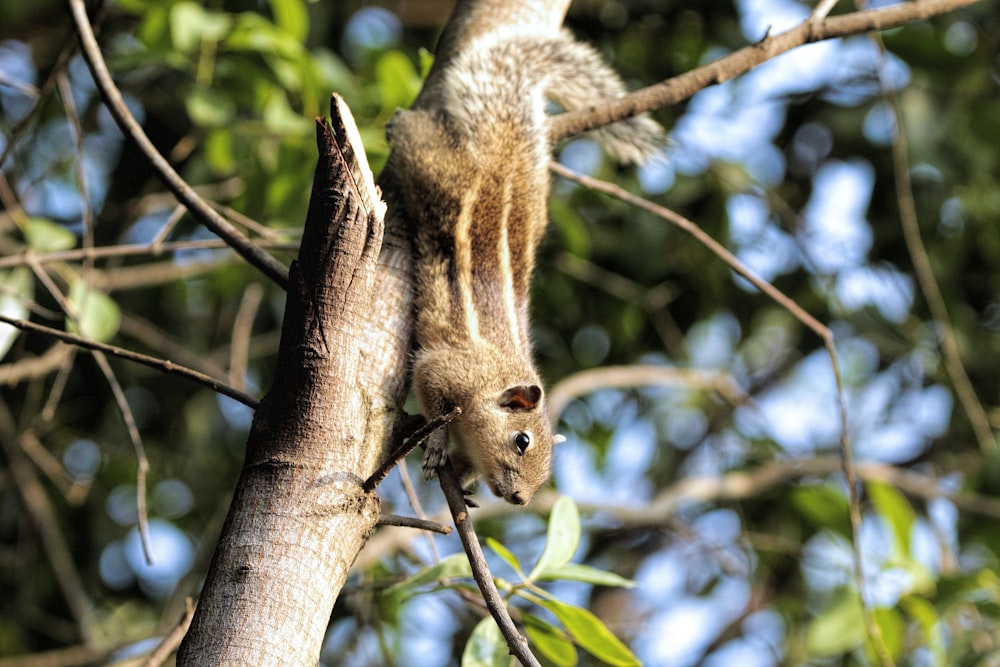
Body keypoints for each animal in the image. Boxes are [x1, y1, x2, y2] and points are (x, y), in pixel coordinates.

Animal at [382, 27, 664, 506]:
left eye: (548, 466)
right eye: (522, 440)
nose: (519, 499)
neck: (499, 375)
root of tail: (506, 164)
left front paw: (463, 482)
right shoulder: (449, 369)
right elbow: (431, 395)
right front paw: (436, 444)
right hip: (439, 177)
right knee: (419, 142)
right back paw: (399, 121)